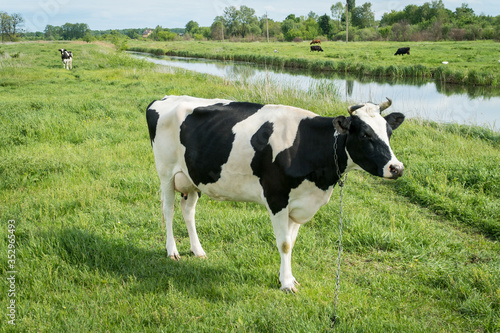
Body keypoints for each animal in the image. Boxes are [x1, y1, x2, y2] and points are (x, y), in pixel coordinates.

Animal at [146, 94, 404, 292]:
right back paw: (172, 251)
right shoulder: (277, 198)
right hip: (166, 172)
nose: (397, 168)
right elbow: (285, 244)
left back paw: (197, 250)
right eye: (364, 134)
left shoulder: (300, 203)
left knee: (188, 211)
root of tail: (164, 98)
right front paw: (287, 284)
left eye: (389, 133)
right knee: (168, 210)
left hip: (192, 178)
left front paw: (287, 277)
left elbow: (292, 241)